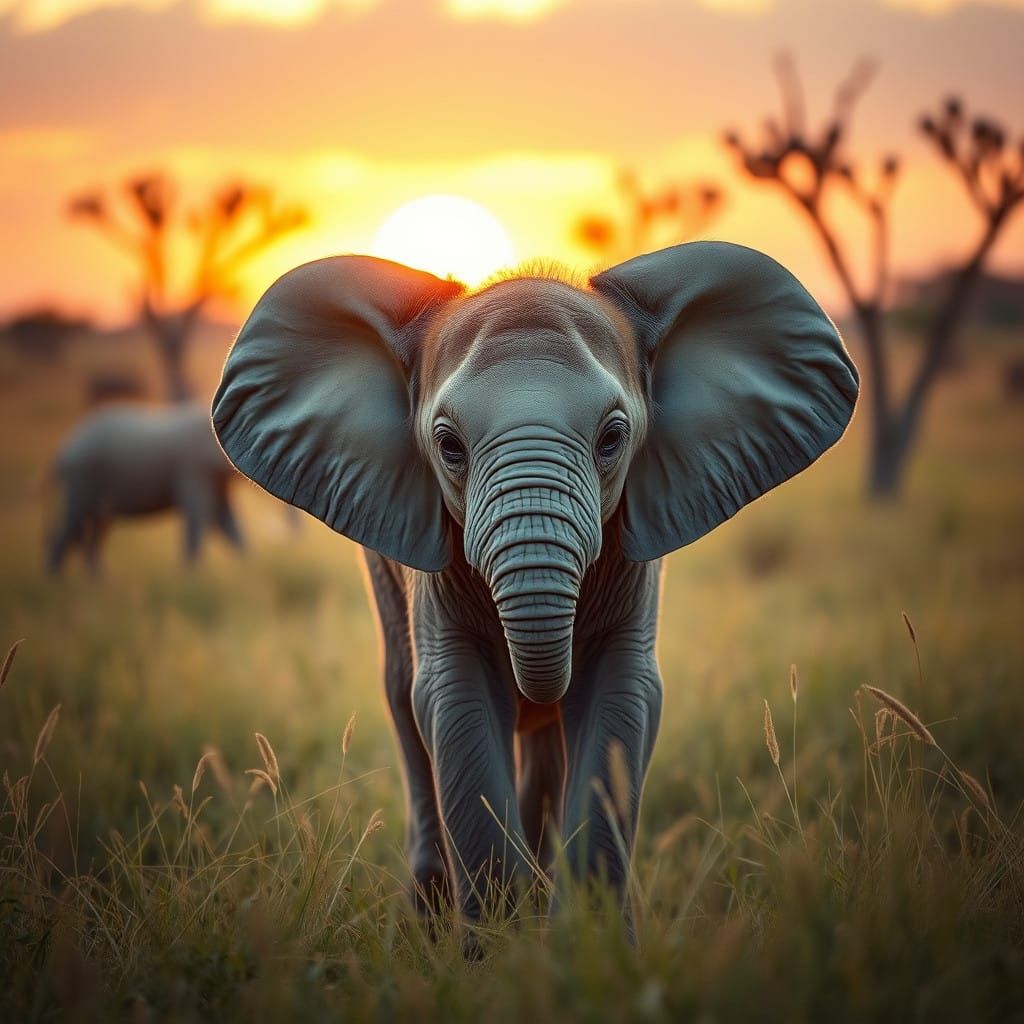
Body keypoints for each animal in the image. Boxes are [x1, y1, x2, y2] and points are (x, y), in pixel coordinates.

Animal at [47, 403, 245, 572]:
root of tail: (63, 451)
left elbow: (225, 519)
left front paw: (244, 569)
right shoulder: (191, 465)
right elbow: (201, 515)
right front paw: (192, 578)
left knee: (96, 526)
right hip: (83, 474)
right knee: (73, 521)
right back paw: (59, 582)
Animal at [212, 242, 858, 923]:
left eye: (613, 437)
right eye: (448, 446)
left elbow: (621, 699)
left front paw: (588, 939)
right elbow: (453, 699)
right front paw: (501, 938)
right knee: (401, 696)